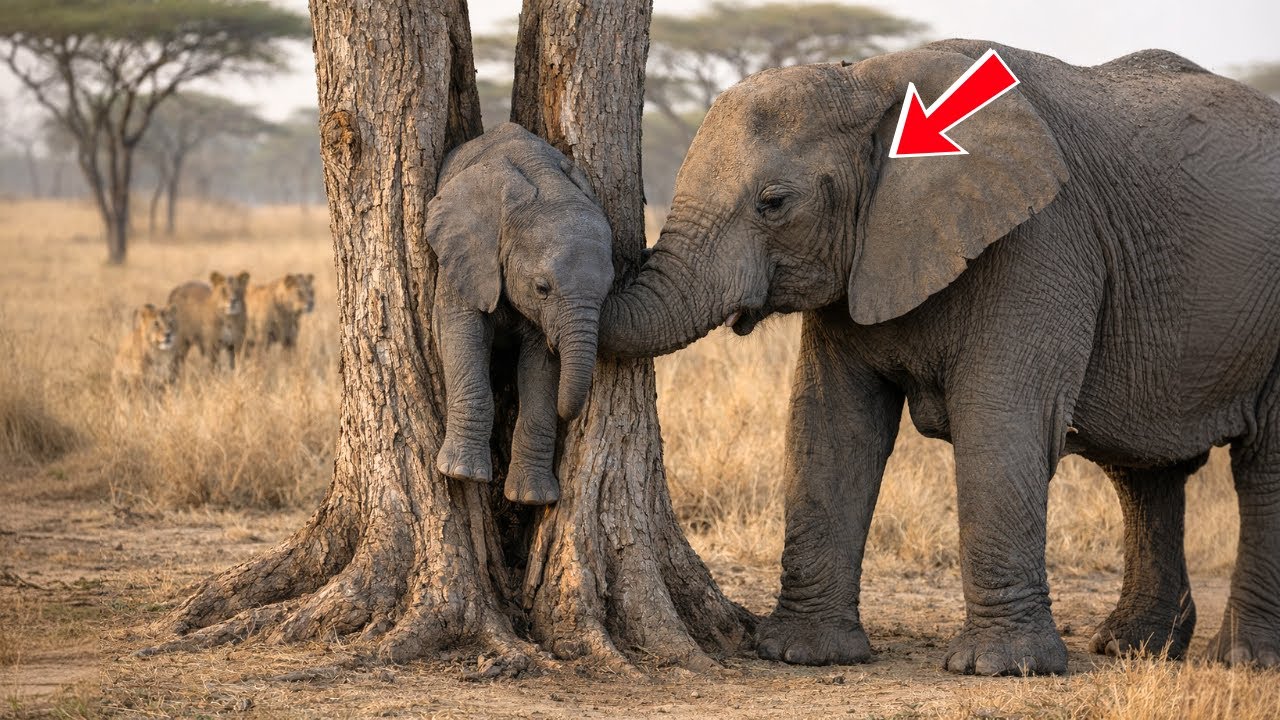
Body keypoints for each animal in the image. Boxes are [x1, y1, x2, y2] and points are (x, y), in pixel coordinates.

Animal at [428, 122, 613, 505]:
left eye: (607, 293)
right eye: (542, 288)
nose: (570, 415)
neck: (545, 183)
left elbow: (541, 366)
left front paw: (532, 498)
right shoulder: (465, 252)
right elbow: (459, 331)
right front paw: (461, 473)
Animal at [598, 40, 1280, 674]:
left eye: (774, 202)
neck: (871, 81)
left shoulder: (1040, 239)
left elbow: (1000, 424)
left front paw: (1002, 668)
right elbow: (831, 426)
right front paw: (802, 654)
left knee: (1260, 469)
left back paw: (1241, 661)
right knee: (1143, 473)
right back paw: (1133, 649)